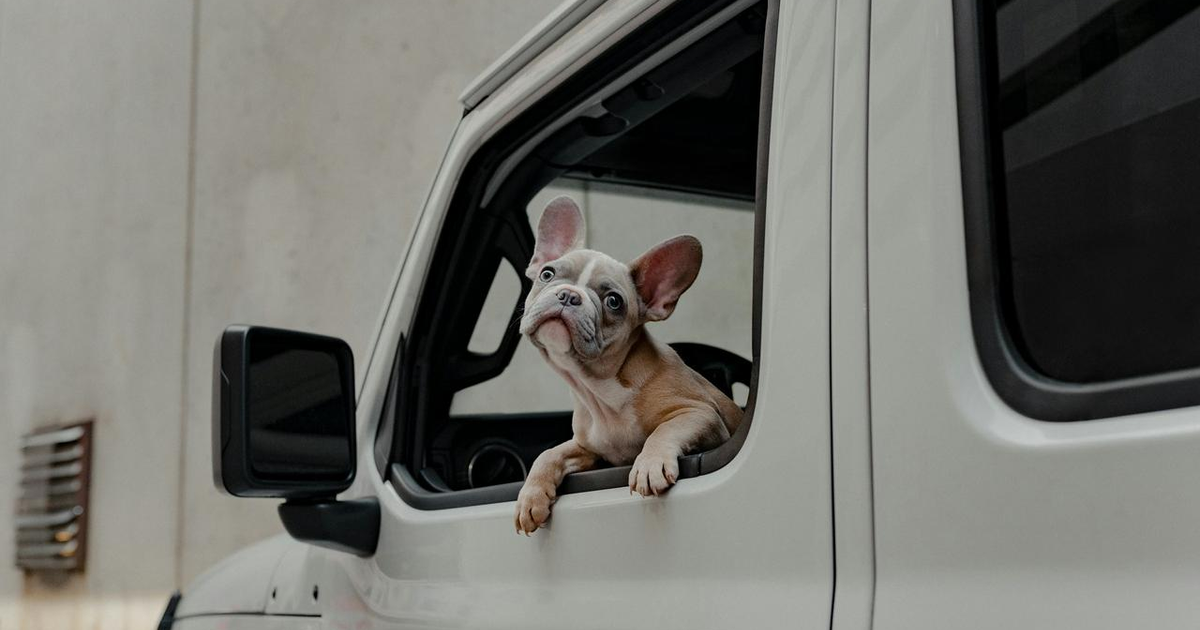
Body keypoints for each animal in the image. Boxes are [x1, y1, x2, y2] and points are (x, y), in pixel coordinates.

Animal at [514, 196, 743, 535]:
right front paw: (530, 497)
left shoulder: (700, 414)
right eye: (547, 274)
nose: (568, 295)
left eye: (613, 301)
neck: (598, 389)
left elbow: (664, 429)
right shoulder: (588, 448)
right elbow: (549, 453)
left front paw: (649, 464)